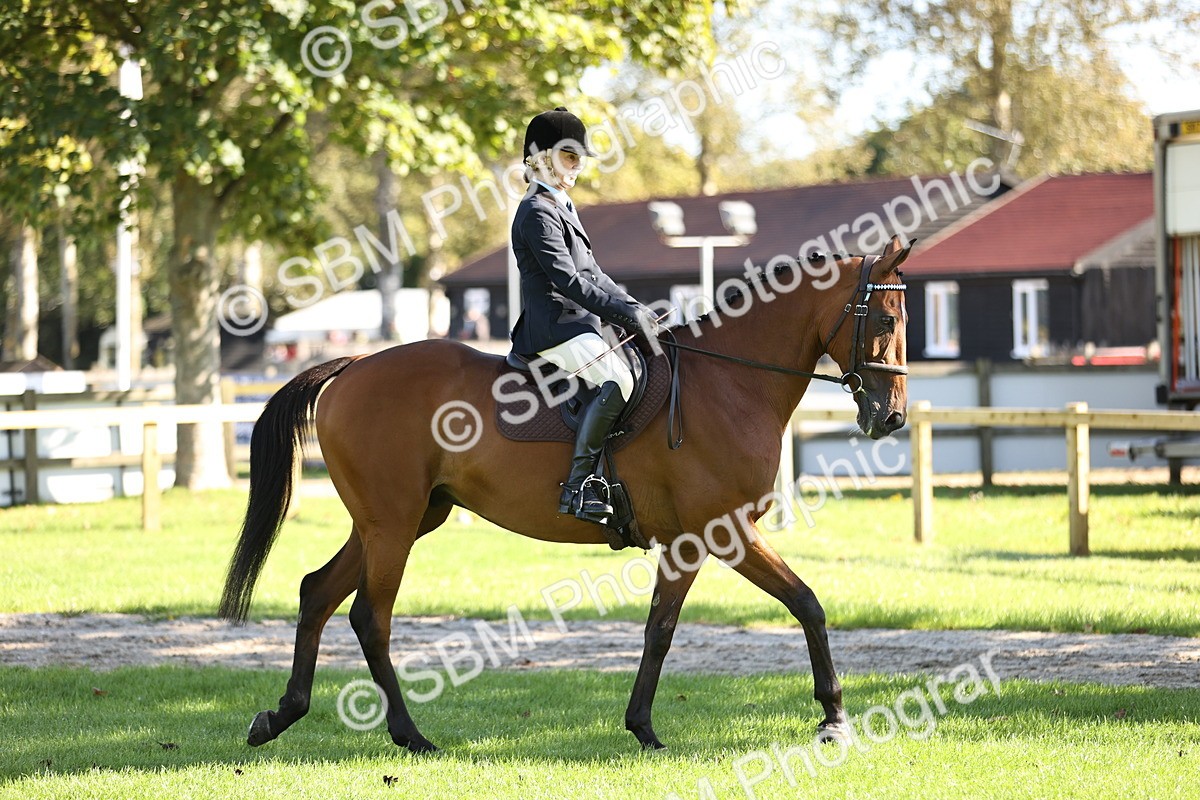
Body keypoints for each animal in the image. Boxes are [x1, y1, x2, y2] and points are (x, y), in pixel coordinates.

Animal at [219, 233, 913, 753]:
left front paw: (643, 728)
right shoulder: (724, 533)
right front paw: (833, 719)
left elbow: (661, 628)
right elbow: (807, 604)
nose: (891, 418)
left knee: (318, 593)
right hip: (392, 525)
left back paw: (279, 717)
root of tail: (351, 367)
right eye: (884, 318)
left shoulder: (688, 543)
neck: (727, 383)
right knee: (371, 616)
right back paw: (410, 734)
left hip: (402, 519)